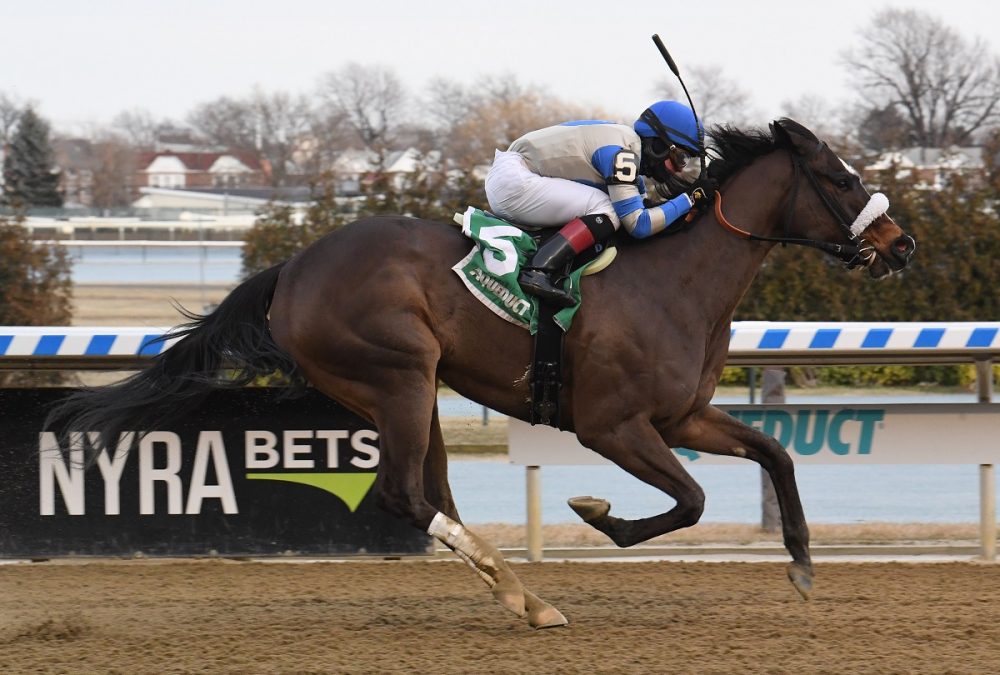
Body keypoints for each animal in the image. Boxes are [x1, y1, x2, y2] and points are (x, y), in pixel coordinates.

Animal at [52, 117, 916, 628]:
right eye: (841, 179)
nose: (900, 243)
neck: (674, 279)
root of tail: (292, 269)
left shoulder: (681, 416)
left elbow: (775, 453)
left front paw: (802, 563)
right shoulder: (612, 426)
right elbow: (693, 500)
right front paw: (600, 513)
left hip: (415, 390)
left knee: (434, 493)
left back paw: (520, 592)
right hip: (398, 376)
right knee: (405, 495)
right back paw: (521, 591)